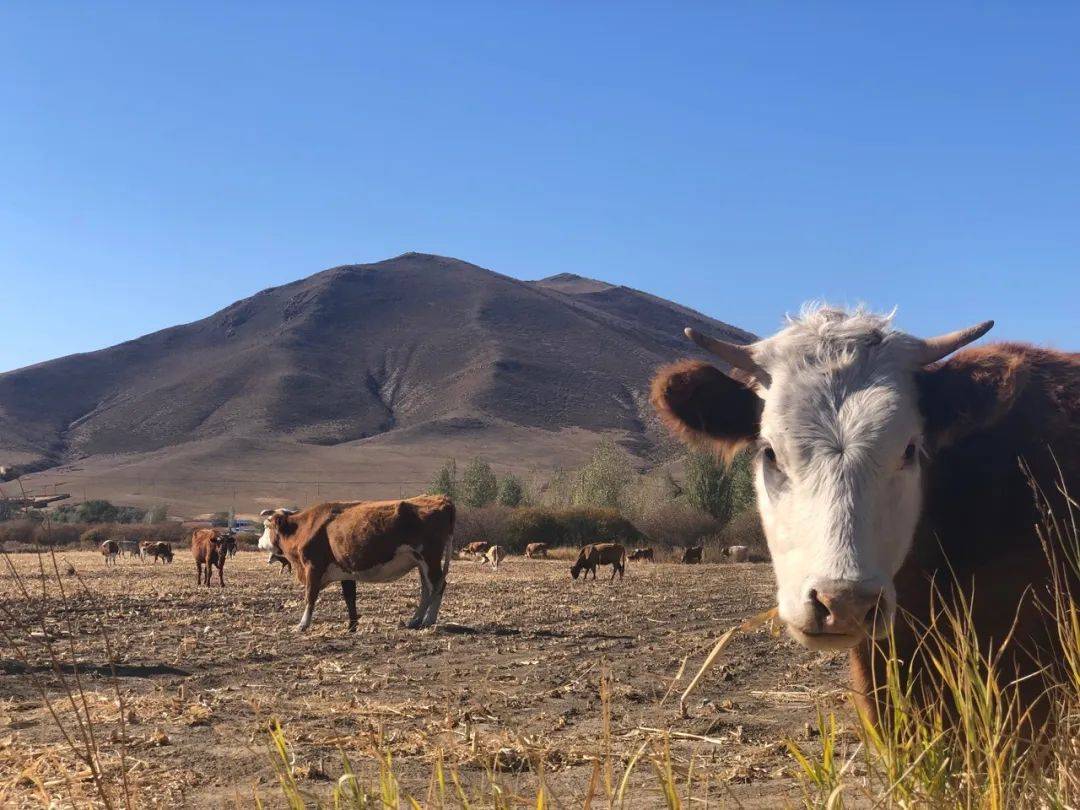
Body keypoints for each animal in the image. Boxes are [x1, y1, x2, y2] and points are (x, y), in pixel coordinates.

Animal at [260, 494, 455, 635]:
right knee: (427, 588)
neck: (304, 527)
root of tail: (440, 499)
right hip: (421, 563)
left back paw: (429, 620)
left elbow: (310, 596)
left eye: (266, 526)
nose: (259, 543)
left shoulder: (313, 567)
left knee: (438, 585)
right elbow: (350, 599)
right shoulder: (345, 572)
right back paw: (415, 620)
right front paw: (352, 626)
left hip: (430, 558)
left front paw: (302, 624)